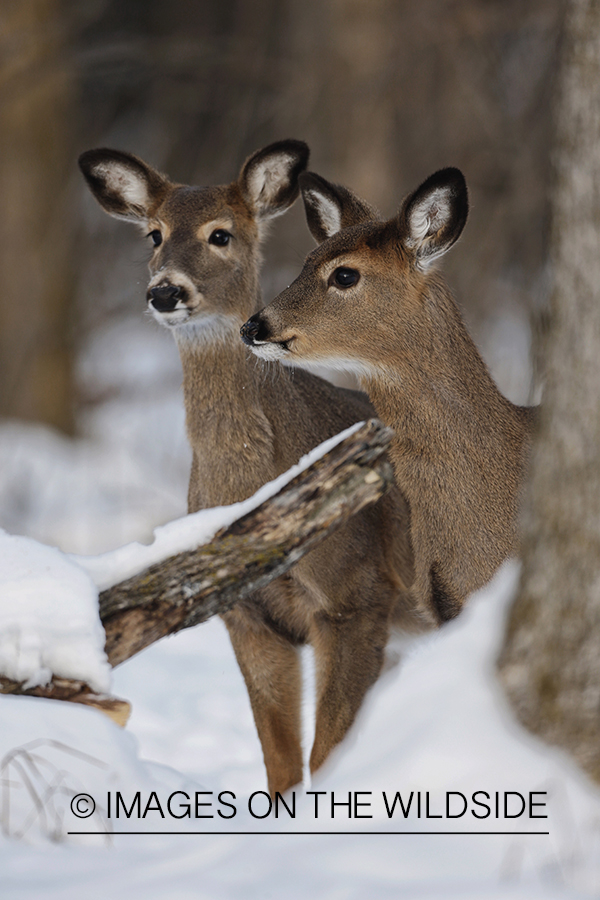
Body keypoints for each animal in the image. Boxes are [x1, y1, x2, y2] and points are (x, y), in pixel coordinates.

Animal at [79, 144, 426, 800]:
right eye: (153, 234)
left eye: (221, 234)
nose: (165, 292)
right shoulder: (245, 615)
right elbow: (282, 765)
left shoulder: (358, 596)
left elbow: (326, 756)